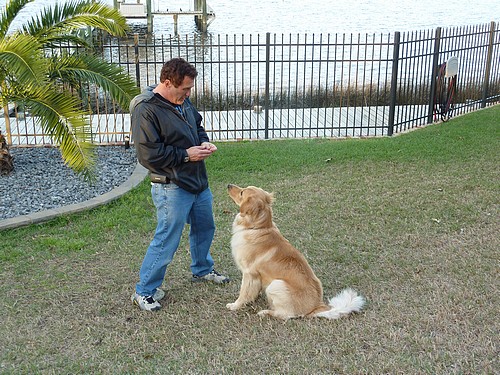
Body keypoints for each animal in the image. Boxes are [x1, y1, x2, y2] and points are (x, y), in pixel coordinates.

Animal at [226, 185, 364, 320]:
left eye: (242, 192)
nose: (228, 185)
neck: (258, 228)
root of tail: (316, 307)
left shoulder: (249, 273)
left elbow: (243, 292)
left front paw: (235, 305)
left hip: (276, 284)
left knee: (285, 315)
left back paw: (265, 312)